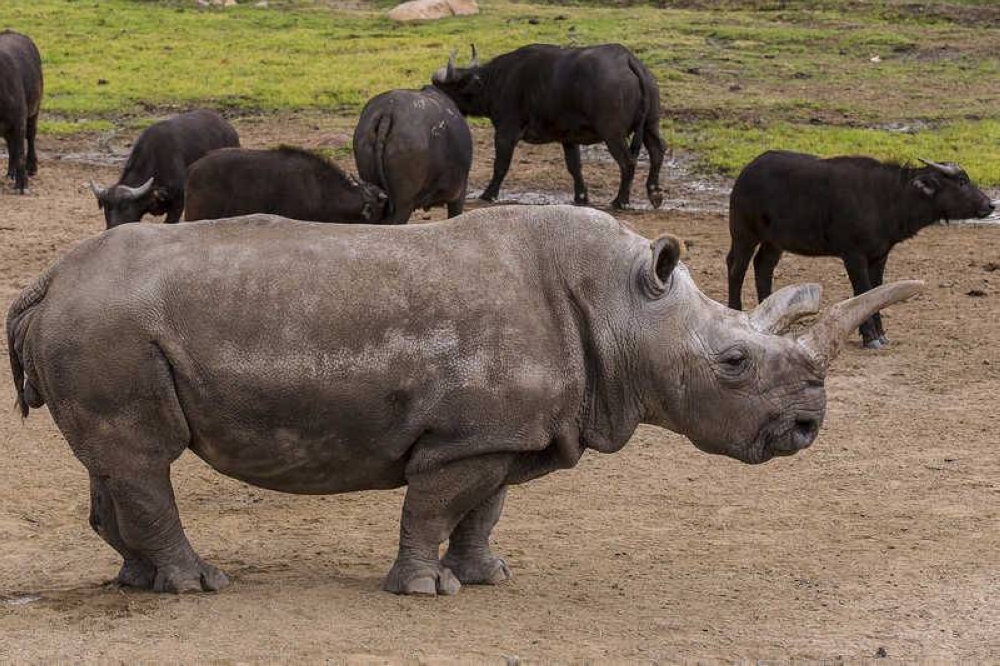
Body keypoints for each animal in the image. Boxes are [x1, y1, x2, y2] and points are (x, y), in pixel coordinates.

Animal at [7, 205, 920, 596]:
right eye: (733, 363)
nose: (807, 427)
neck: (627, 308)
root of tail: (47, 281)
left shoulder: (514, 429)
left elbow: (485, 509)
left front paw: (485, 577)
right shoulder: (465, 434)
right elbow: (432, 506)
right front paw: (423, 592)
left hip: (106, 330)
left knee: (121, 461)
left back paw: (137, 582)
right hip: (109, 327)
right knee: (144, 459)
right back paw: (199, 587)